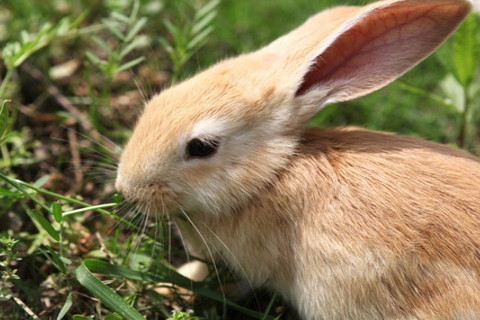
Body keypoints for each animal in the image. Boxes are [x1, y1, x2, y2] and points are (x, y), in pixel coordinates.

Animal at [114, 0, 478, 318]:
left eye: (202, 147)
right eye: (159, 99)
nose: (126, 188)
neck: (271, 175)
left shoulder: (253, 264)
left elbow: (231, 285)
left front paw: (167, 286)